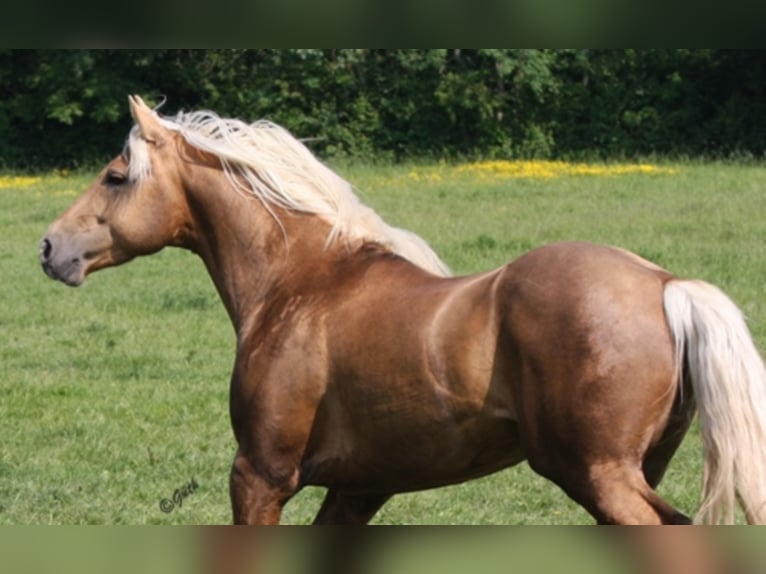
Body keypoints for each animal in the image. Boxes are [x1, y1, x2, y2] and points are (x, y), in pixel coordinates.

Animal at [40, 95, 766, 525]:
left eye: (115, 176)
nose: (50, 248)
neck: (301, 283)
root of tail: (668, 284)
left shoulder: (260, 475)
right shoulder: (359, 489)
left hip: (599, 478)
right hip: (633, 474)